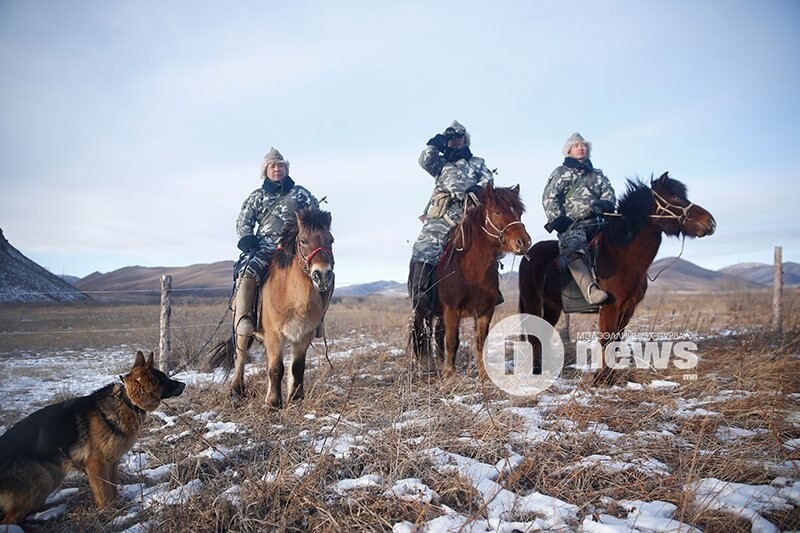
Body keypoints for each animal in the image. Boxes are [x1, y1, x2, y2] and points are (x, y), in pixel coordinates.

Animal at [0, 350, 184, 524]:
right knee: (9, 519)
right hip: (42, 482)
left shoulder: (112, 463)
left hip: (52, 477)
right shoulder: (96, 465)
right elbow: (104, 493)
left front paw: (118, 508)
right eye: (164, 379)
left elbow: (112, 489)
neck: (126, 401)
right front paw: (113, 515)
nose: (184, 384)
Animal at [206, 208, 334, 408]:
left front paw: (295, 398)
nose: (322, 275)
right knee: (240, 356)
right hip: (242, 327)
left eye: (331, 240)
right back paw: (236, 392)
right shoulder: (274, 336)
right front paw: (273, 402)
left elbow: (297, 367)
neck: (292, 297)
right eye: (303, 240)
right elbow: (276, 368)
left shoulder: (303, 336)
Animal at [412, 183, 532, 378]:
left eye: (519, 212)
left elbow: (480, 342)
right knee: (421, 335)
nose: (523, 242)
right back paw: (423, 365)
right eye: (497, 211)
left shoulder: (485, 311)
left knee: (437, 335)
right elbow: (452, 341)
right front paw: (449, 374)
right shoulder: (452, 309)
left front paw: (484, 375)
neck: (471, 271)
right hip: (421, 309)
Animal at [520, 172, 716, 384]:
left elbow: (616, 340)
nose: (711, 222)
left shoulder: (627, 308)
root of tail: (529, 253)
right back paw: (536, 369)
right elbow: (606, 338)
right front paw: (600, 378)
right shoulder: (610, 307)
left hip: (552, 306)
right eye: (678, 198)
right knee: (534, 334)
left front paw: (610, 377)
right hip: (532, 301)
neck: (621, 255)